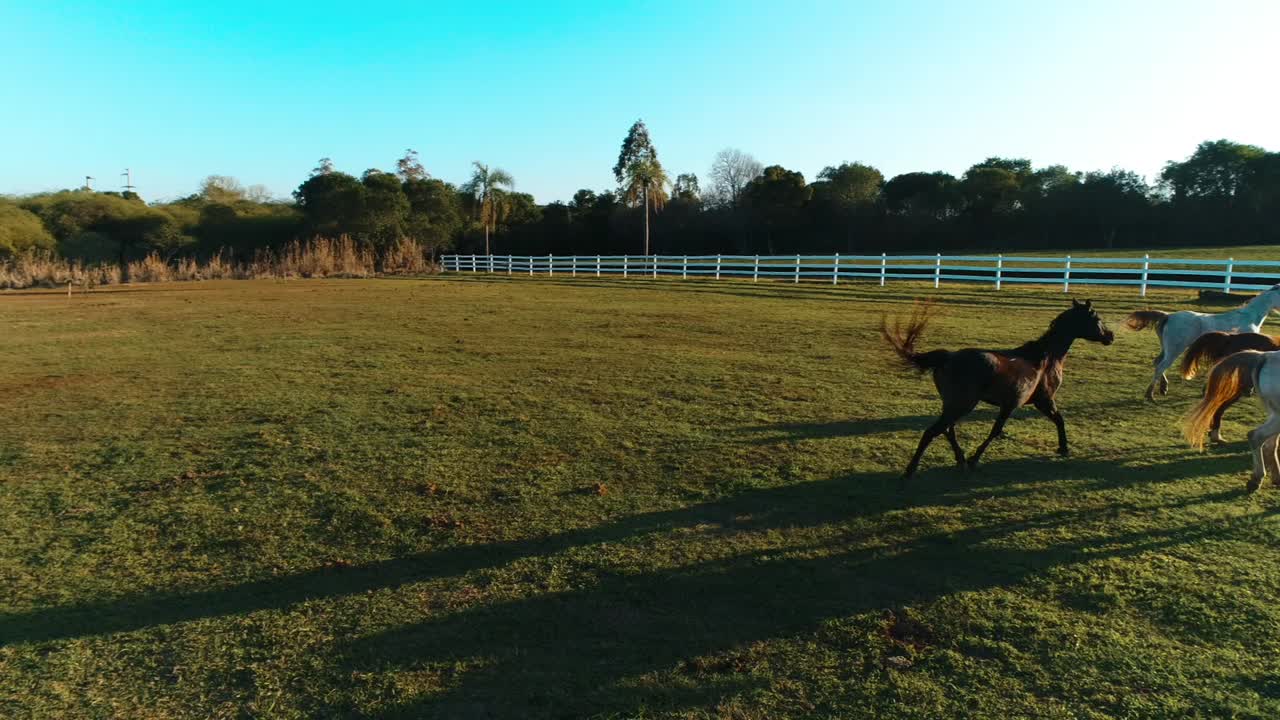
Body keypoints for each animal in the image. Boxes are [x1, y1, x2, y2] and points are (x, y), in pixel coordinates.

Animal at [882, 299, 1115, 479]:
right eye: (1096, 318)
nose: (1110, 336)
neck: (1046, 358)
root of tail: (948, 357)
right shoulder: (1040, 401)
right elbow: (1002, 429)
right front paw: (975, 459)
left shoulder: (1018, 404)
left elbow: (1053, 421)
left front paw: (1063, 448)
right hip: (962, 405)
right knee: (933, 431)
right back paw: (910, 471)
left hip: (953, 404)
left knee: (948, 429)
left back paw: (960, 460)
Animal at [1124, 284, 1280, 401]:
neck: (1249, 318)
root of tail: (1168, 316)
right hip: (1175, 349)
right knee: (1161, 366)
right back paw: (1150, 395)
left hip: (1166, 349)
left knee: (1157, 363)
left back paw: (1163, 389)